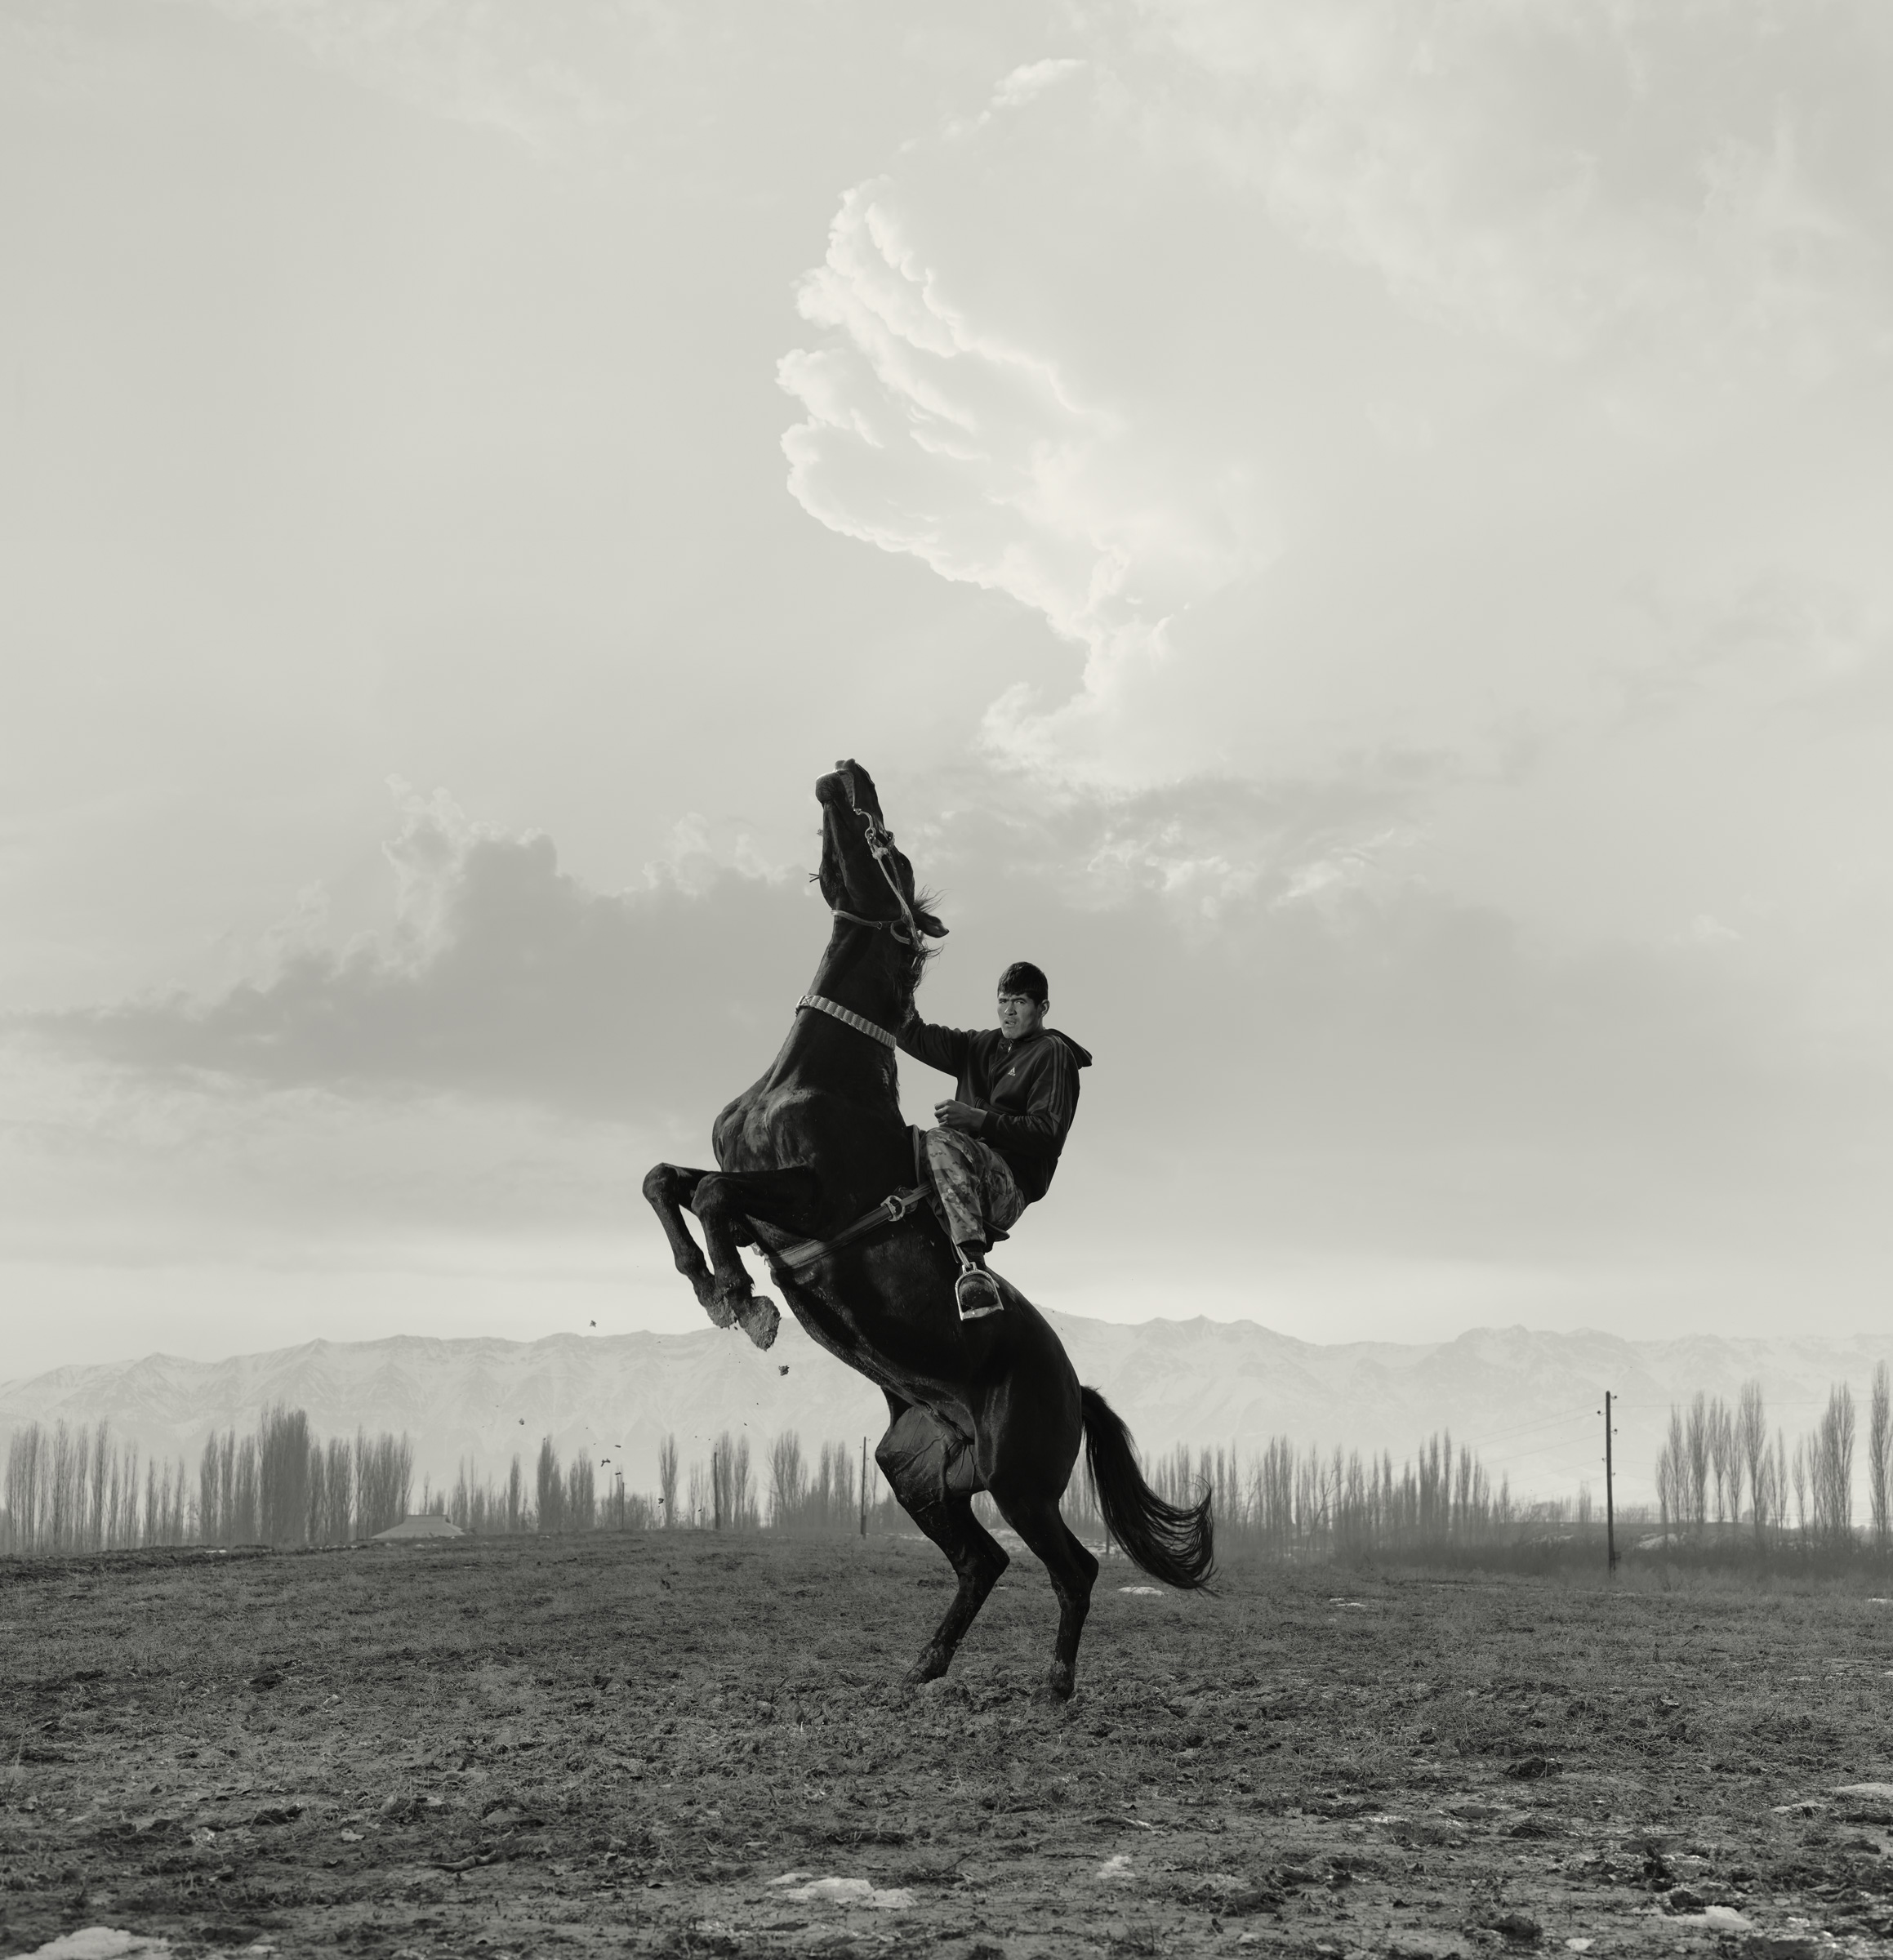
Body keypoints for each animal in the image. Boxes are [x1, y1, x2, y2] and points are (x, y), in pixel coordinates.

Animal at [642, 759, 1213, 1698]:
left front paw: (742, 1300)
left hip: (1021, 1483)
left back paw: (1056, 1684)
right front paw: (708, 1282)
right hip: (917, 1476)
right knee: (984, 1561)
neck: (818, 1077)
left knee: (1072, 1566)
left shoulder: (809, 1199)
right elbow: (670, 1180)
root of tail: (1074, 1387)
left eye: (894, 853)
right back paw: (927, 1662)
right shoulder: (752, 1193)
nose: (847, 773)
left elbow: (719, 1196)